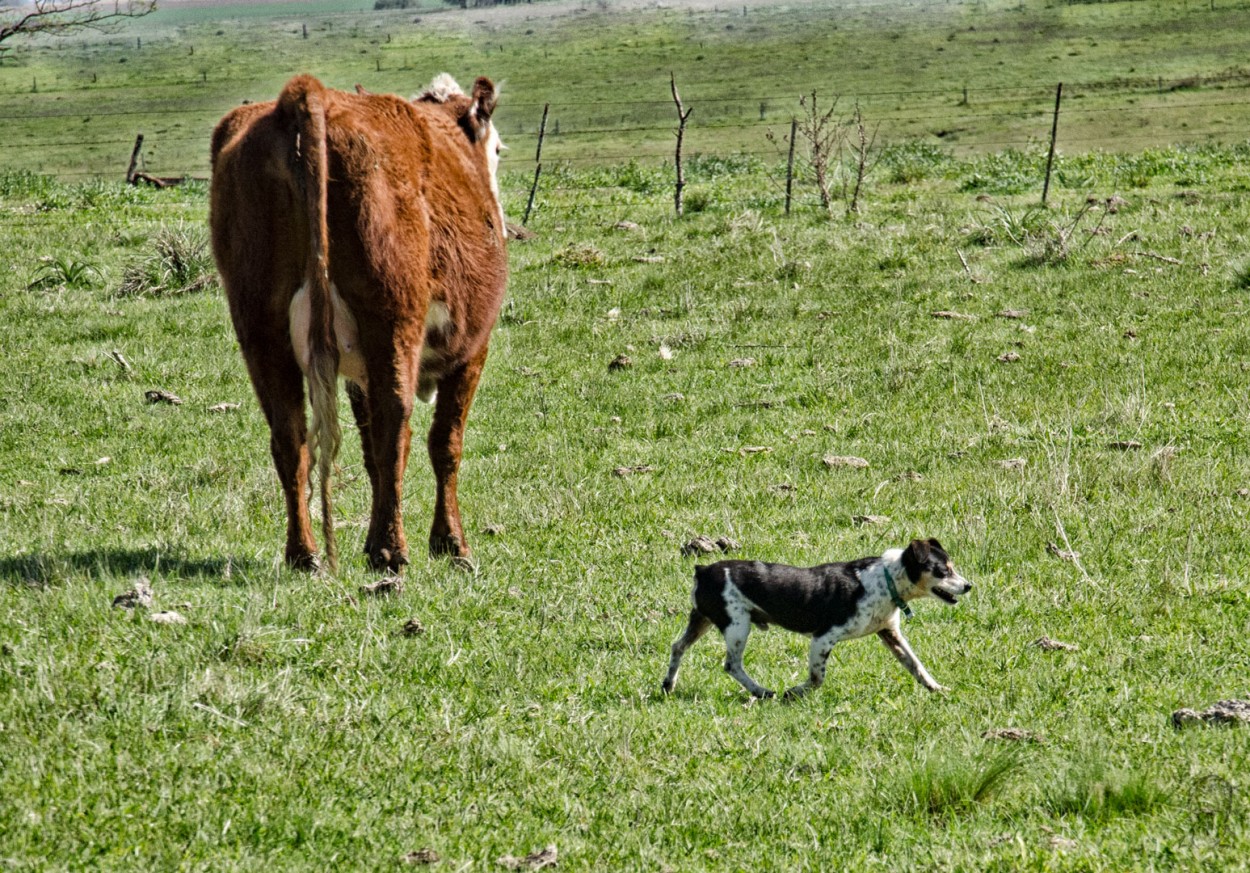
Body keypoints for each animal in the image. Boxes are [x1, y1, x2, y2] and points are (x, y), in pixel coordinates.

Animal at [211, 74, 507, 570]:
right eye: (499, 150)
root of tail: (306, 94)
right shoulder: (471, 348)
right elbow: (444, 443)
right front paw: (450, 542)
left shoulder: (357, 373)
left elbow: (370, 451)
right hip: (391, 317)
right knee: (394, 421)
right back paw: (391, 549)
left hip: (260, 326)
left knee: (289, 435)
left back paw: (305, 553)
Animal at [660, 537, 970, 700]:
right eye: (943, 571)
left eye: (952, 568)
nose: (968, 586)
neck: (886, 580)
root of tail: (702, 570)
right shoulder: (823, 638)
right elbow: (817, 677)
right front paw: (793, 693)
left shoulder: (890, 633)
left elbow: (916, 666)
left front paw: (937, 688)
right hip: (737, 625)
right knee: (731, 665)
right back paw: (762, 691)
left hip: (702, 619)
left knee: (678, 647)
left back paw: (668, 684)